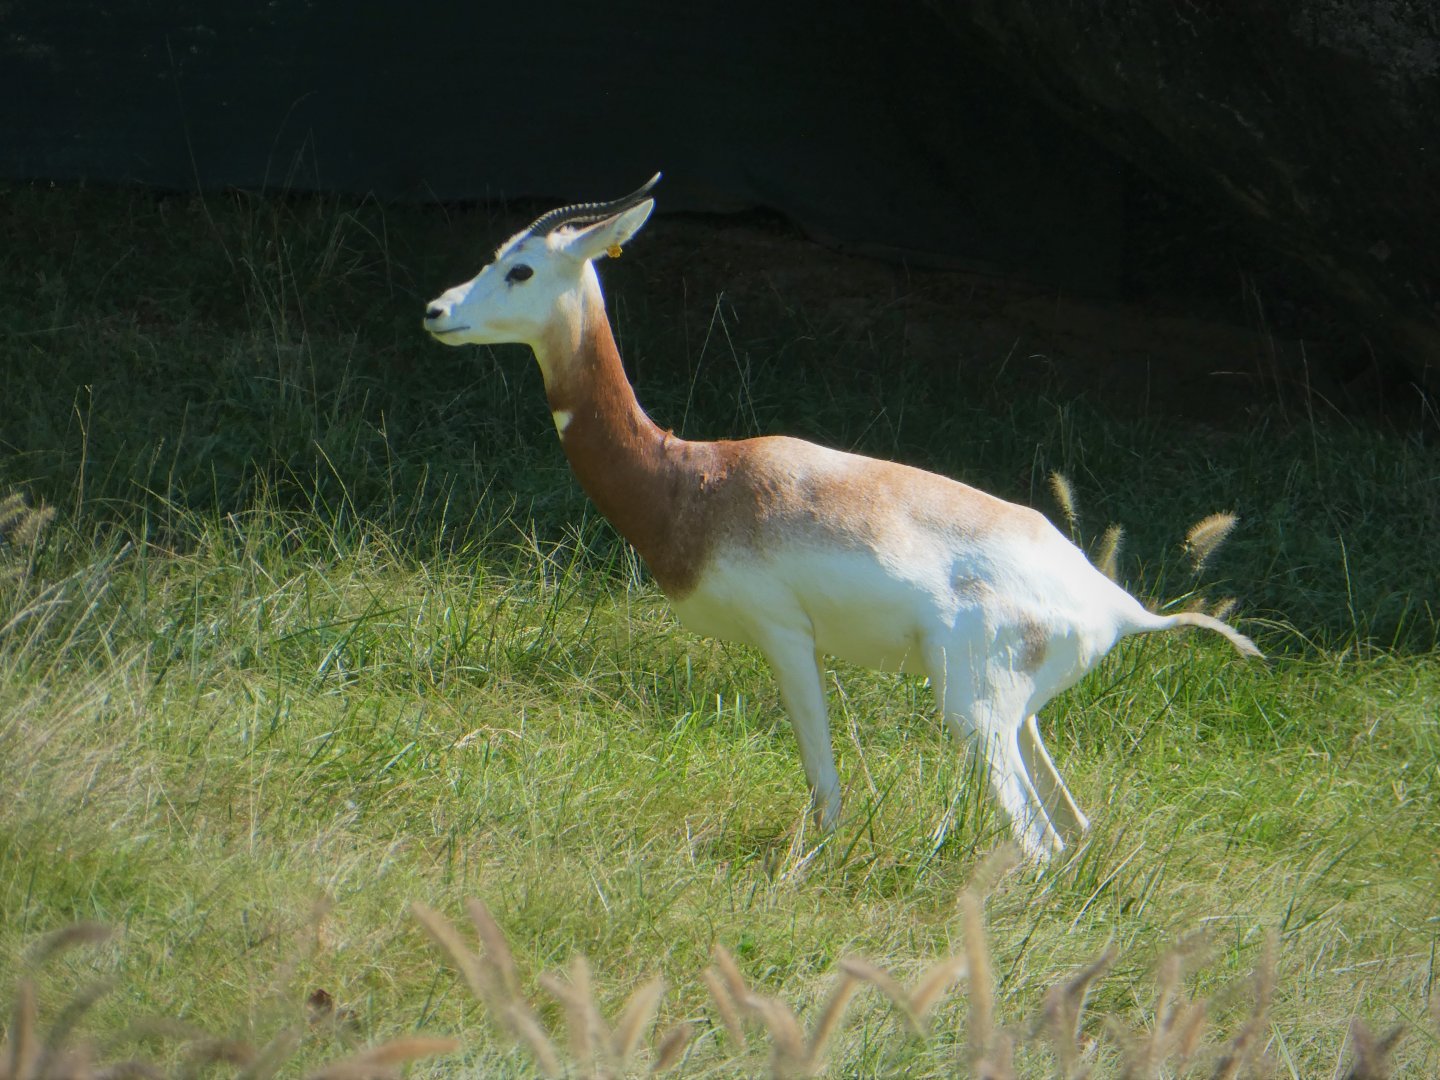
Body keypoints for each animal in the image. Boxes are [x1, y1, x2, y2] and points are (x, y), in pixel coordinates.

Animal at [423, 175, 1261, 861]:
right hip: (1020, 720)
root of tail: (1116, 604)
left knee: (1039, 840)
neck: (694, 480)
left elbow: (824, 782)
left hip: (974, 713)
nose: (436, 310)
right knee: (1075, 827)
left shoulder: (785, 636)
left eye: (522, 268)